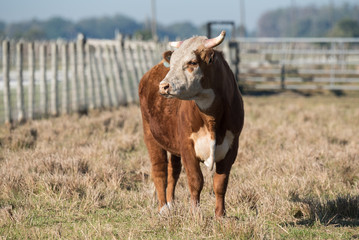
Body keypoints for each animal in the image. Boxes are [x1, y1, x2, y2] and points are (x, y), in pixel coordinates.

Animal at [138, 30, 245, 218]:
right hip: (150, 135)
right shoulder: (187, 146)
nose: (163, 86)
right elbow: (196, 181)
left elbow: (220, 183)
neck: (211, 119)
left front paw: (220, 215)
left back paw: (171, 203)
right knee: (159, 170)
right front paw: (195, 213)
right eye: (172, 62)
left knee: (173, 171)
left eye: (192, 62)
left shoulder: (231, 147)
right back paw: (163, 208)